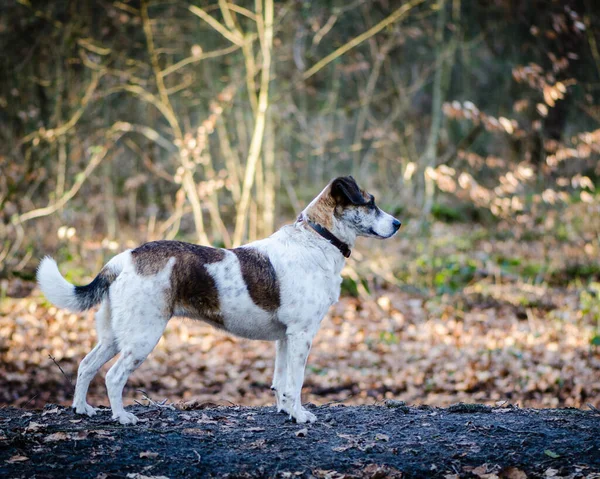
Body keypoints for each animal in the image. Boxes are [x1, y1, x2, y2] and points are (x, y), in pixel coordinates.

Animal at [38, 176, 404, 424]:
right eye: (370, 203)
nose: (398, 223)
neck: (317, 239)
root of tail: (124, 258)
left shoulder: (285, 338)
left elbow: (282, 381)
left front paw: (286, 410)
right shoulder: (302, 335)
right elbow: (297, 381)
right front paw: (300, 415)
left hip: (115, 336)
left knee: (86, 365)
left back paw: (82, 408)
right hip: (142, 336)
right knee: (113, 376)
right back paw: (122, 417)